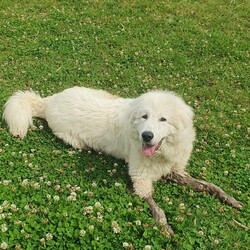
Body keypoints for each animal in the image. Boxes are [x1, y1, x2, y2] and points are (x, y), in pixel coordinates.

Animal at [2, 87, 242, 235]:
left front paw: (231, 200)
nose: (147, 136)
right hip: (73, 139)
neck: (162, 152)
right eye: (144, 116)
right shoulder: (141, 180)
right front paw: (165, 229)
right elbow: (158, 210)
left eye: (163, 119)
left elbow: (209, 186)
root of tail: (49, 101)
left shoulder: (176, 171)